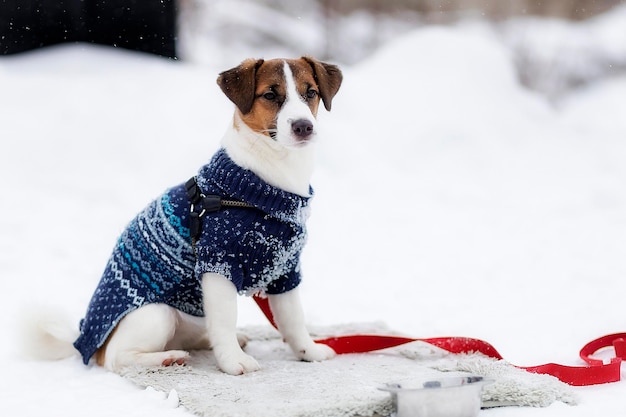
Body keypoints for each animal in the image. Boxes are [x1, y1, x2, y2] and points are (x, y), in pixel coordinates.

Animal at [28, 56, 342, 374]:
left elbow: (293, 318)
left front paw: (309, 351)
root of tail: (85, 341)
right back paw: (166, 358)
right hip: (157, 314)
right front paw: (233, 362)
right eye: (269, 95)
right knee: (118, 358)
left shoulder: (285, 268)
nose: (303, 126)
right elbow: (226, 319)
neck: (260, 187)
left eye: (311, 92)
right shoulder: (218, 265)